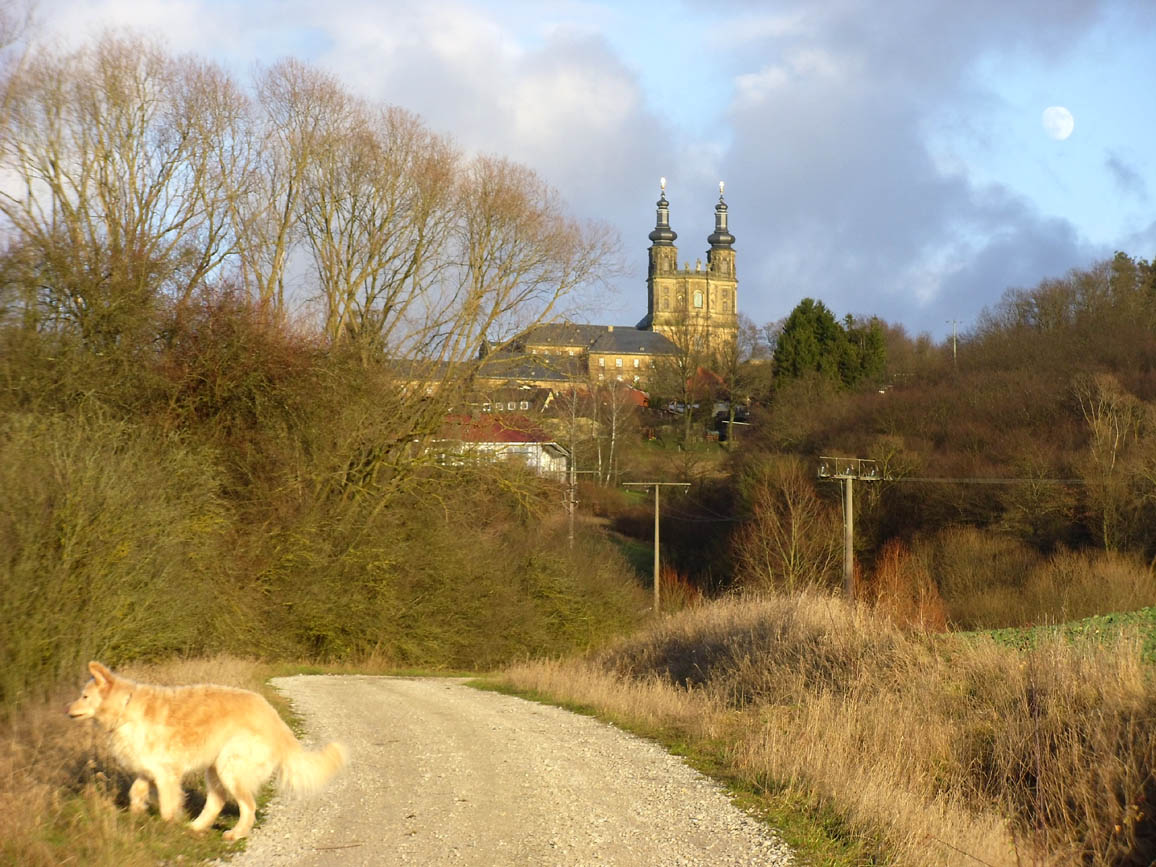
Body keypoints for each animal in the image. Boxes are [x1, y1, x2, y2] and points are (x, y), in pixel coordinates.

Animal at [67, 665, 344, 841]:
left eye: (84, 696)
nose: (67, 710)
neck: (125, 708)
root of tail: (276, 720)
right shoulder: (148, 769)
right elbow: (136, 791)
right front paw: (137, 815)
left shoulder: (166, 773)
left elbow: (167, 805)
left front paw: (168, 826)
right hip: (215, 768)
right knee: (217, 801)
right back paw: (197, 826)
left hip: (230, 766)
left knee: (248, 806)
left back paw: (235, 833)